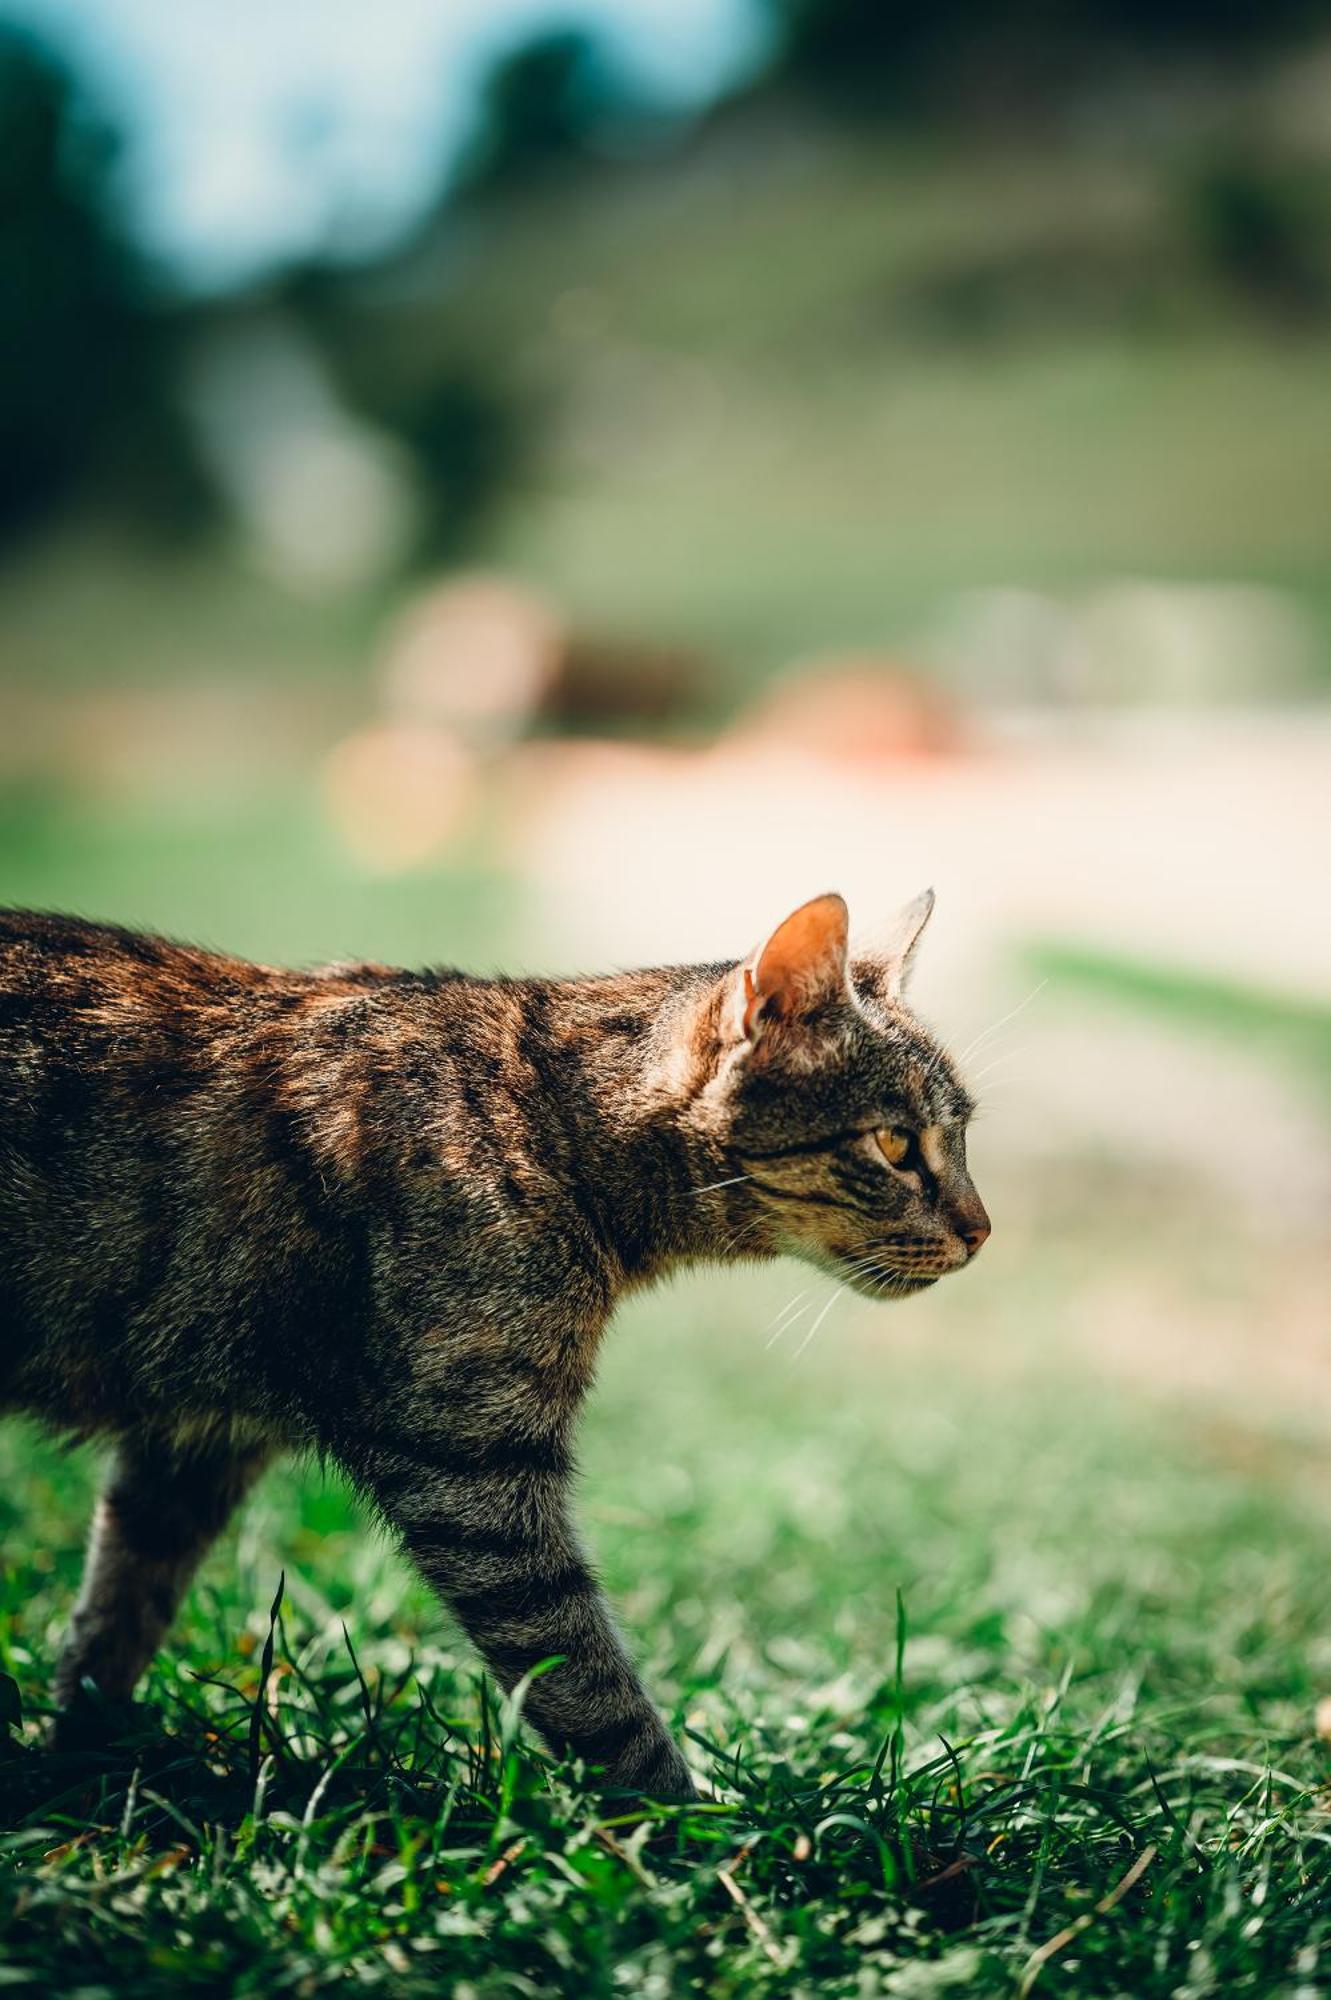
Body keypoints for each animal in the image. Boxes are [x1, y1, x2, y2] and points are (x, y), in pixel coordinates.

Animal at [0, 892, 983, 1800]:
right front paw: (688, 1830)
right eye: (895, 1143)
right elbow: (585, 1677)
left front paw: (79, 1760)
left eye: (962, 1135)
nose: (981, 1232)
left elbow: (120, 1606)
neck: (548, 1124)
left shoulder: (197, 1440)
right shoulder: (471, 1471)